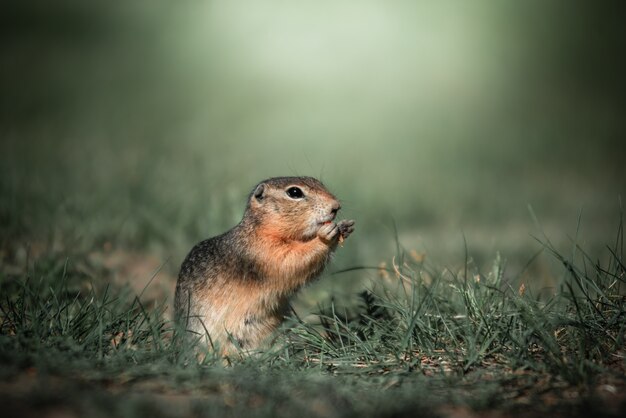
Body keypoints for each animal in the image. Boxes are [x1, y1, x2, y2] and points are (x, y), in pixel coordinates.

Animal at [173, 176, 354, 352]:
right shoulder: (264, 251)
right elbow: (290, 260)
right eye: (294, 192)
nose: (336, 206)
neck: (262, 229)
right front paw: (325, 235)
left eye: (319, 182)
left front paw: (346, 227)